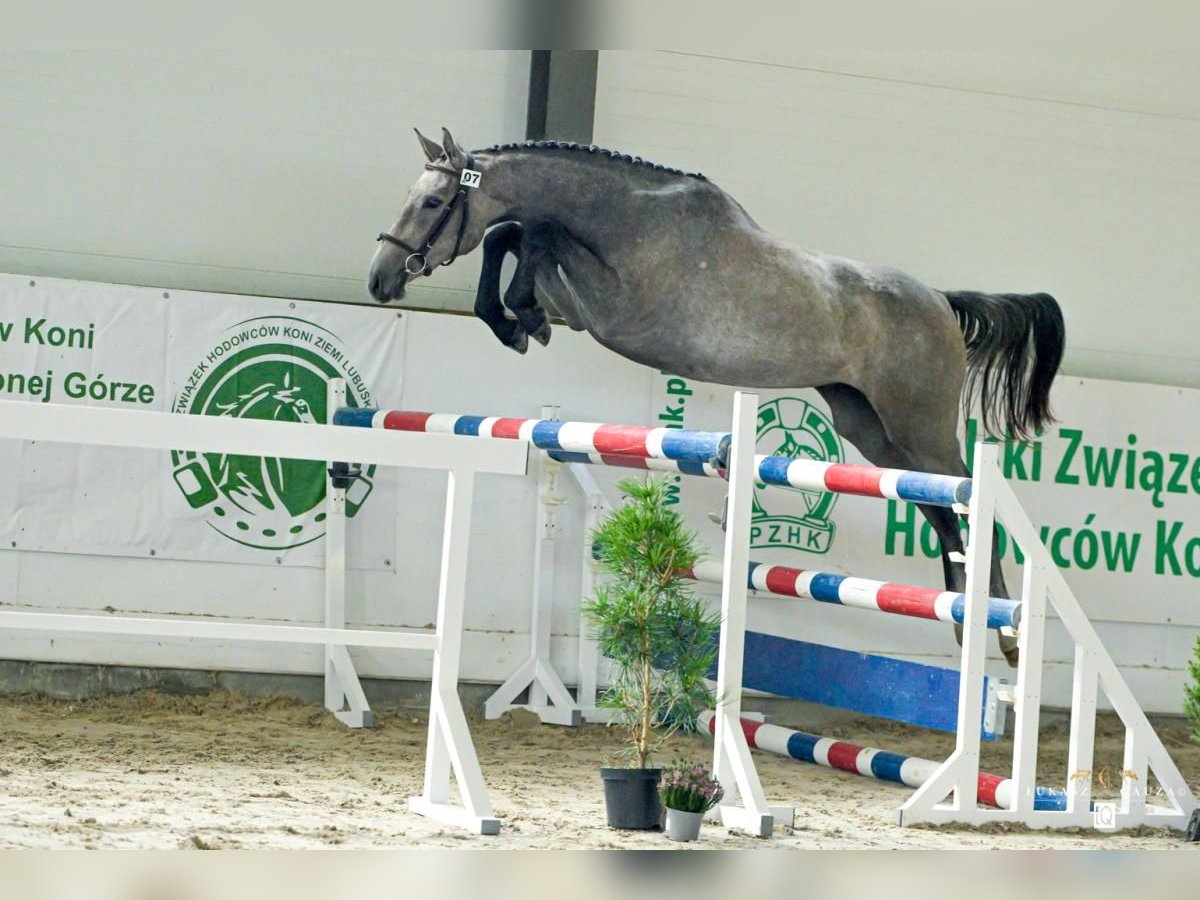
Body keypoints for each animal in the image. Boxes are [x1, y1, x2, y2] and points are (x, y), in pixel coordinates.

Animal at [368, 127, 1066, 666]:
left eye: (433, 201)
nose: (380, 281)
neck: (626, 216)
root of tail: (941, 303)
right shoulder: (583, 301)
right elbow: (512, 234)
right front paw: (516, 320)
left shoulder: (615, 308)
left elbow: (528, 233)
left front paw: (521, 316)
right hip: (869, 427)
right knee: (940, 511)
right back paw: (961, 618)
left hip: (918, 426)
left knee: (971, 499)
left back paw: (1001, 632)